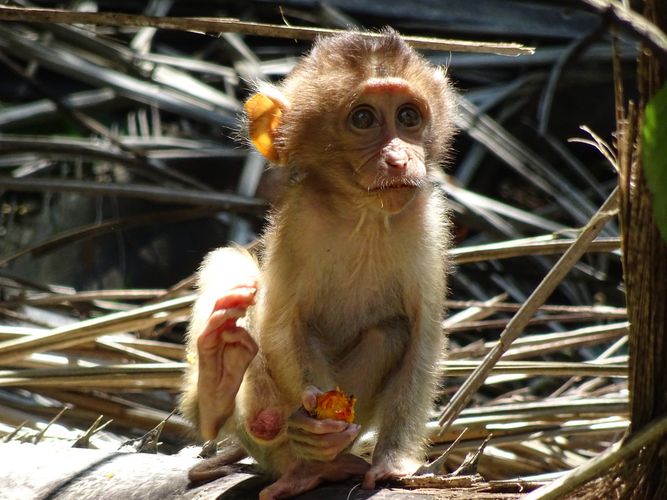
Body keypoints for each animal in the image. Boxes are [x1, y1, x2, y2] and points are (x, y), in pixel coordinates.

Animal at [180, 29, 456, 500]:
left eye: (408, 116)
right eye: (363, 119)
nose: (400, 158)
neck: (364, 214)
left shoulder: (427, 220)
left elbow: (423, 336)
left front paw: (392, 461)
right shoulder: (300, 220)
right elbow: (282, 324)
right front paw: (317, 422)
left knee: (390, 331)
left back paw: (318, 464)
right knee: (235, 276)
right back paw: (225, 385)